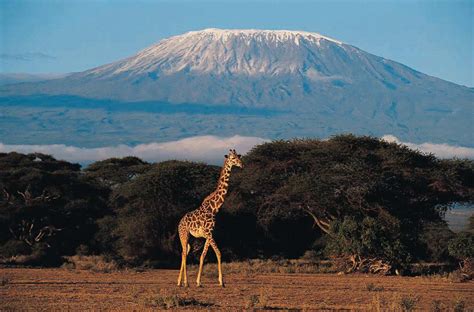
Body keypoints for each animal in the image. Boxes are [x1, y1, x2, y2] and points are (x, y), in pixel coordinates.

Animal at [178, 149, 244, 288]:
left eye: (238, 157)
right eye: (232, 158)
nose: (241, 165)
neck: (214, 208)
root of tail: (179, 223)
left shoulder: (209, 234)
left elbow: (204, 255)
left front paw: (202, 281)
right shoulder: (209, 233)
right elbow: (218, 253)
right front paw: (220, 282)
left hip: (191, 238)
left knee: (184, 253)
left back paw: (179, 282)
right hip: (184, 234)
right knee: (184, 254)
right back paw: (186, 282)